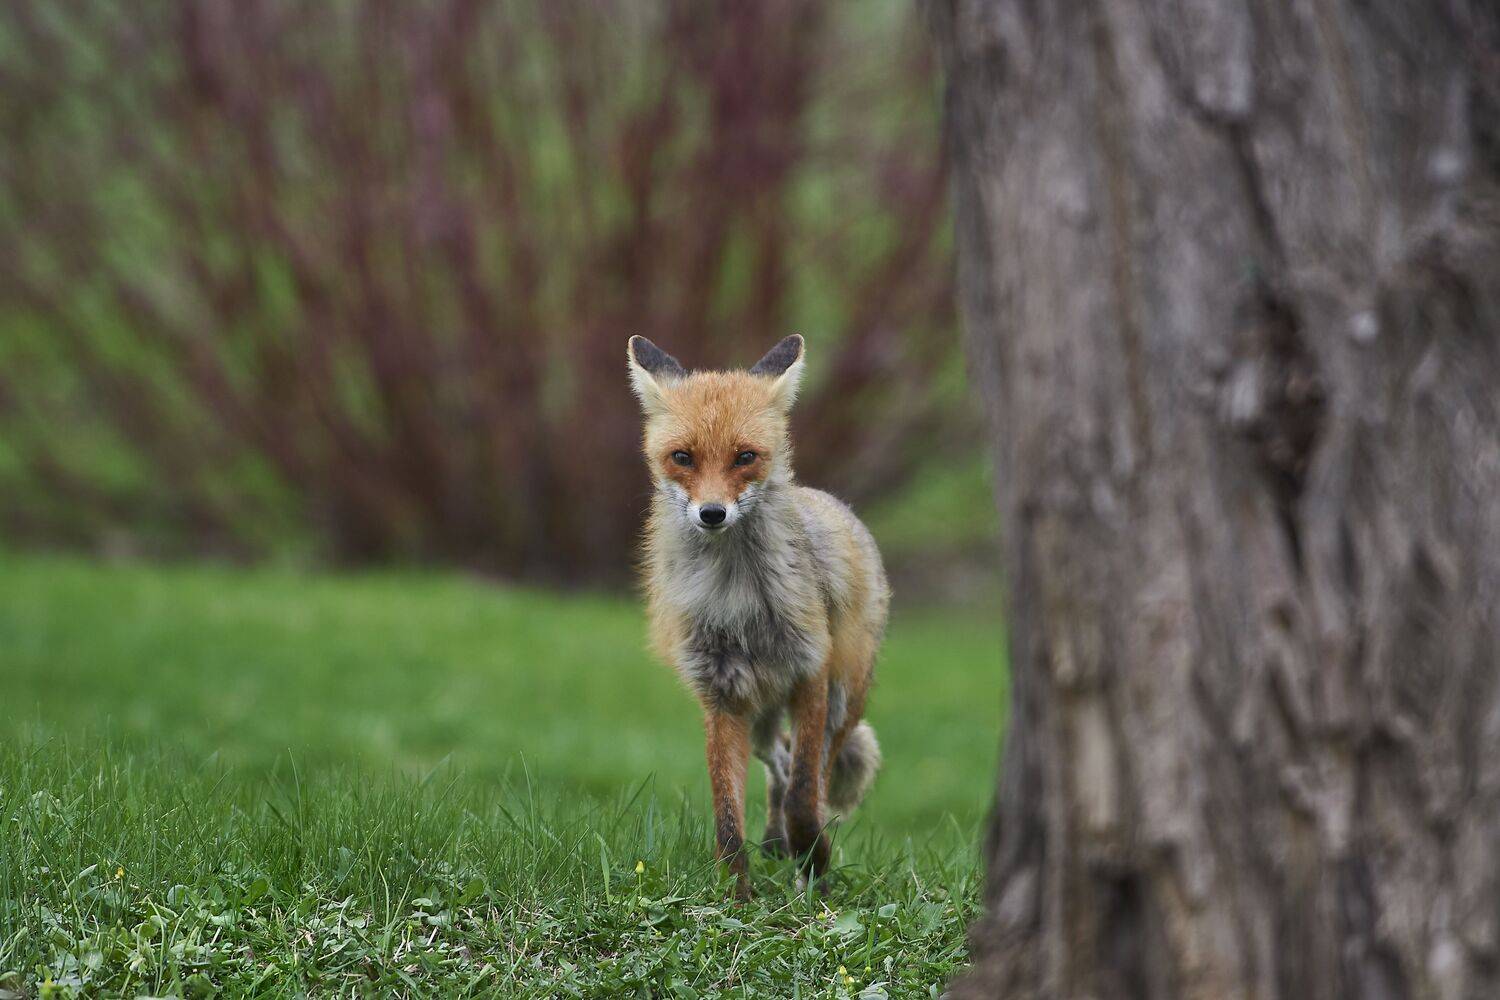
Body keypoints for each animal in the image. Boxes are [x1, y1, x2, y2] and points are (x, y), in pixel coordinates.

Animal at [627, 333, 889, 899]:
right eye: (682, 457)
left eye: (745, 457)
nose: (712, 513)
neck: (736, 598)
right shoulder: (721, 693)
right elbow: (727, 817)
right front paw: (737, 899)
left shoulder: (810, 675)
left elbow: (804, 798)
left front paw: (815, 863)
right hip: (762, 713)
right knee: (779, 761)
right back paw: (775, 843)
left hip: (842, 698)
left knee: (808, 774)